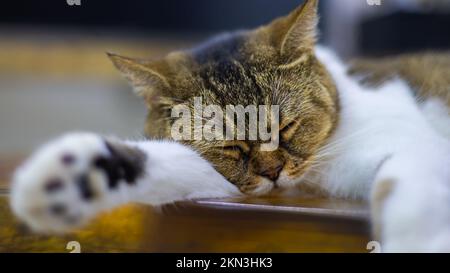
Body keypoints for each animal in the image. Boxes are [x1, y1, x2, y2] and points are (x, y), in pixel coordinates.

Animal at [9, 0, 450, 251]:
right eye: (231, 147)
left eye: (286, 127)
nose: (273, 173)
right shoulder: (232, 184)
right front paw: (70, 177)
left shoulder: (413, 145)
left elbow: (409, 189)